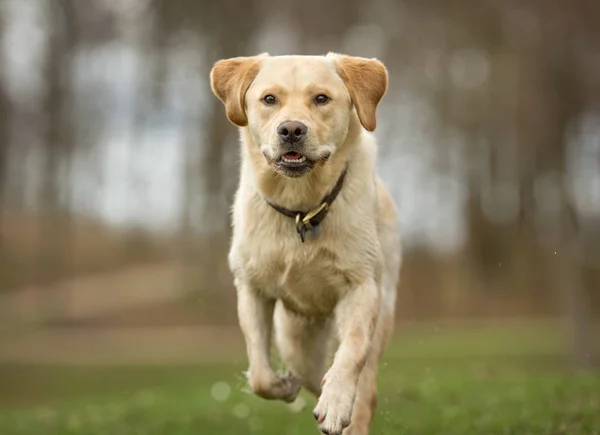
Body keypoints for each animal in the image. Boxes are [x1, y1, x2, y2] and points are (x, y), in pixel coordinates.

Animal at [209, 53, 400, 435]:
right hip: (296, 335)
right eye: (269, 99)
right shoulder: (251, 287)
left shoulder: (362, 286)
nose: (292, 130)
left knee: (364, 385)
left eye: (321, 99)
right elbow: (259, 372)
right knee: (310, 371)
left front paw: (337, 402)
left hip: (382, 307)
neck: (301, 207)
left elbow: (352, 352)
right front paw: (284, 385)